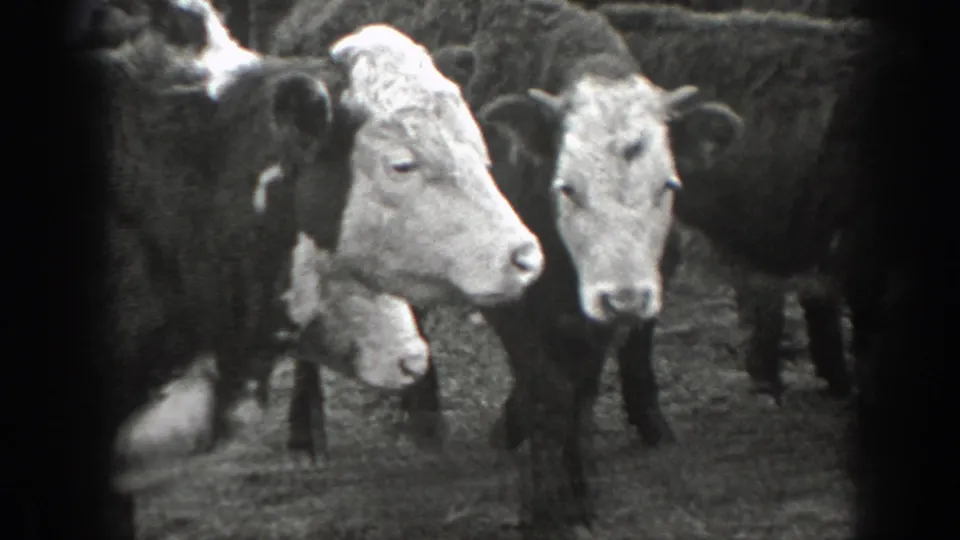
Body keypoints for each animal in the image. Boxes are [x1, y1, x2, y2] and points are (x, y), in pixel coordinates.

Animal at [272, 1, 744, 537]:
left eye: (667, 186)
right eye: (568, 188)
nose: (626, 299)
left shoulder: (592, 313)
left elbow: (580, 392)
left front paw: (579, 491)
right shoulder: (511, 297)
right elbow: (548, 391)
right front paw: (546, 507)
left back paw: (423, 413)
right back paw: (306, 434)